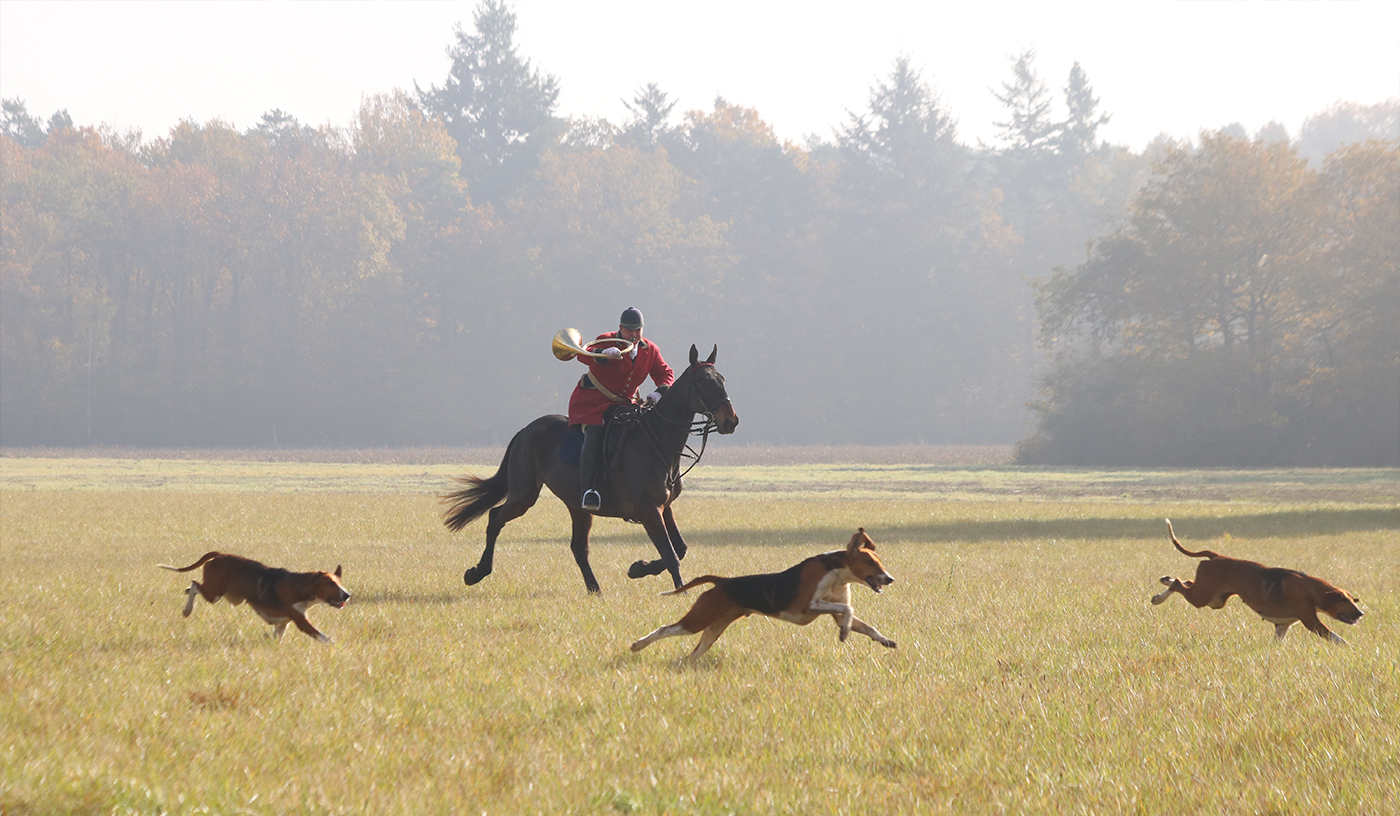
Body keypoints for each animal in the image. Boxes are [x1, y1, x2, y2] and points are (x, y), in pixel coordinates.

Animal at [160, 554, 350, 643]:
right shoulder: (301, 621)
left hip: (226, 596)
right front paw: (337, 645)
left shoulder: (283, 623)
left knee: (192, 587)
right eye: (330, 583)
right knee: (194, 585)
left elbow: (277, 636)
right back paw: (187, 610)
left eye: (340, 582)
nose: (347, 595)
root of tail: (220, 555)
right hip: (214, 593)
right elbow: (323, 637)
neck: (301, 587)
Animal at [442, 344, 739, 593]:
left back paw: (594, 589)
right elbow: (670, 554)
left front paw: (638, 568)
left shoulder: (664, 507)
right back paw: (477, 573)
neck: (656, 441)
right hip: (524, 494)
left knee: (579, 548)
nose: (731, 421)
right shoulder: (649, 510)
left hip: (578, 507)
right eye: (704, 381)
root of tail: (526, 430)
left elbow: (680, 549)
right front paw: (678, 591)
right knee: (495, 517)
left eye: (723, 379)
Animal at [627, 529, 890, 663]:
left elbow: (860, 622)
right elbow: (848, 610)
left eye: (879, 562)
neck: (835, 571)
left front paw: (884, 640)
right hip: (697, 620)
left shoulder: (834, 609)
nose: (889, 578)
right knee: (664, 629)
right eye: (870, 562)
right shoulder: (809, 605)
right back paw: (638, 645)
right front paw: (844, 633)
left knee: (694, 653)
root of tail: (722, 581)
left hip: (713, 629)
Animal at [1153, 523, 1360, 643]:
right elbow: (1338, 639)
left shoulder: (1282, 626)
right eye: (1344, 600)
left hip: (1214, 599)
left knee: (1185, 581)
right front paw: (1350, 648)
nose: (1361, 613)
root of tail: (1216, 556)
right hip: (1202, 598)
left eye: (1352, 600)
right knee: (1178, 584)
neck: (1309, 588)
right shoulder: (1312, 623)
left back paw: (1165, 580)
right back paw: (1158, 597)